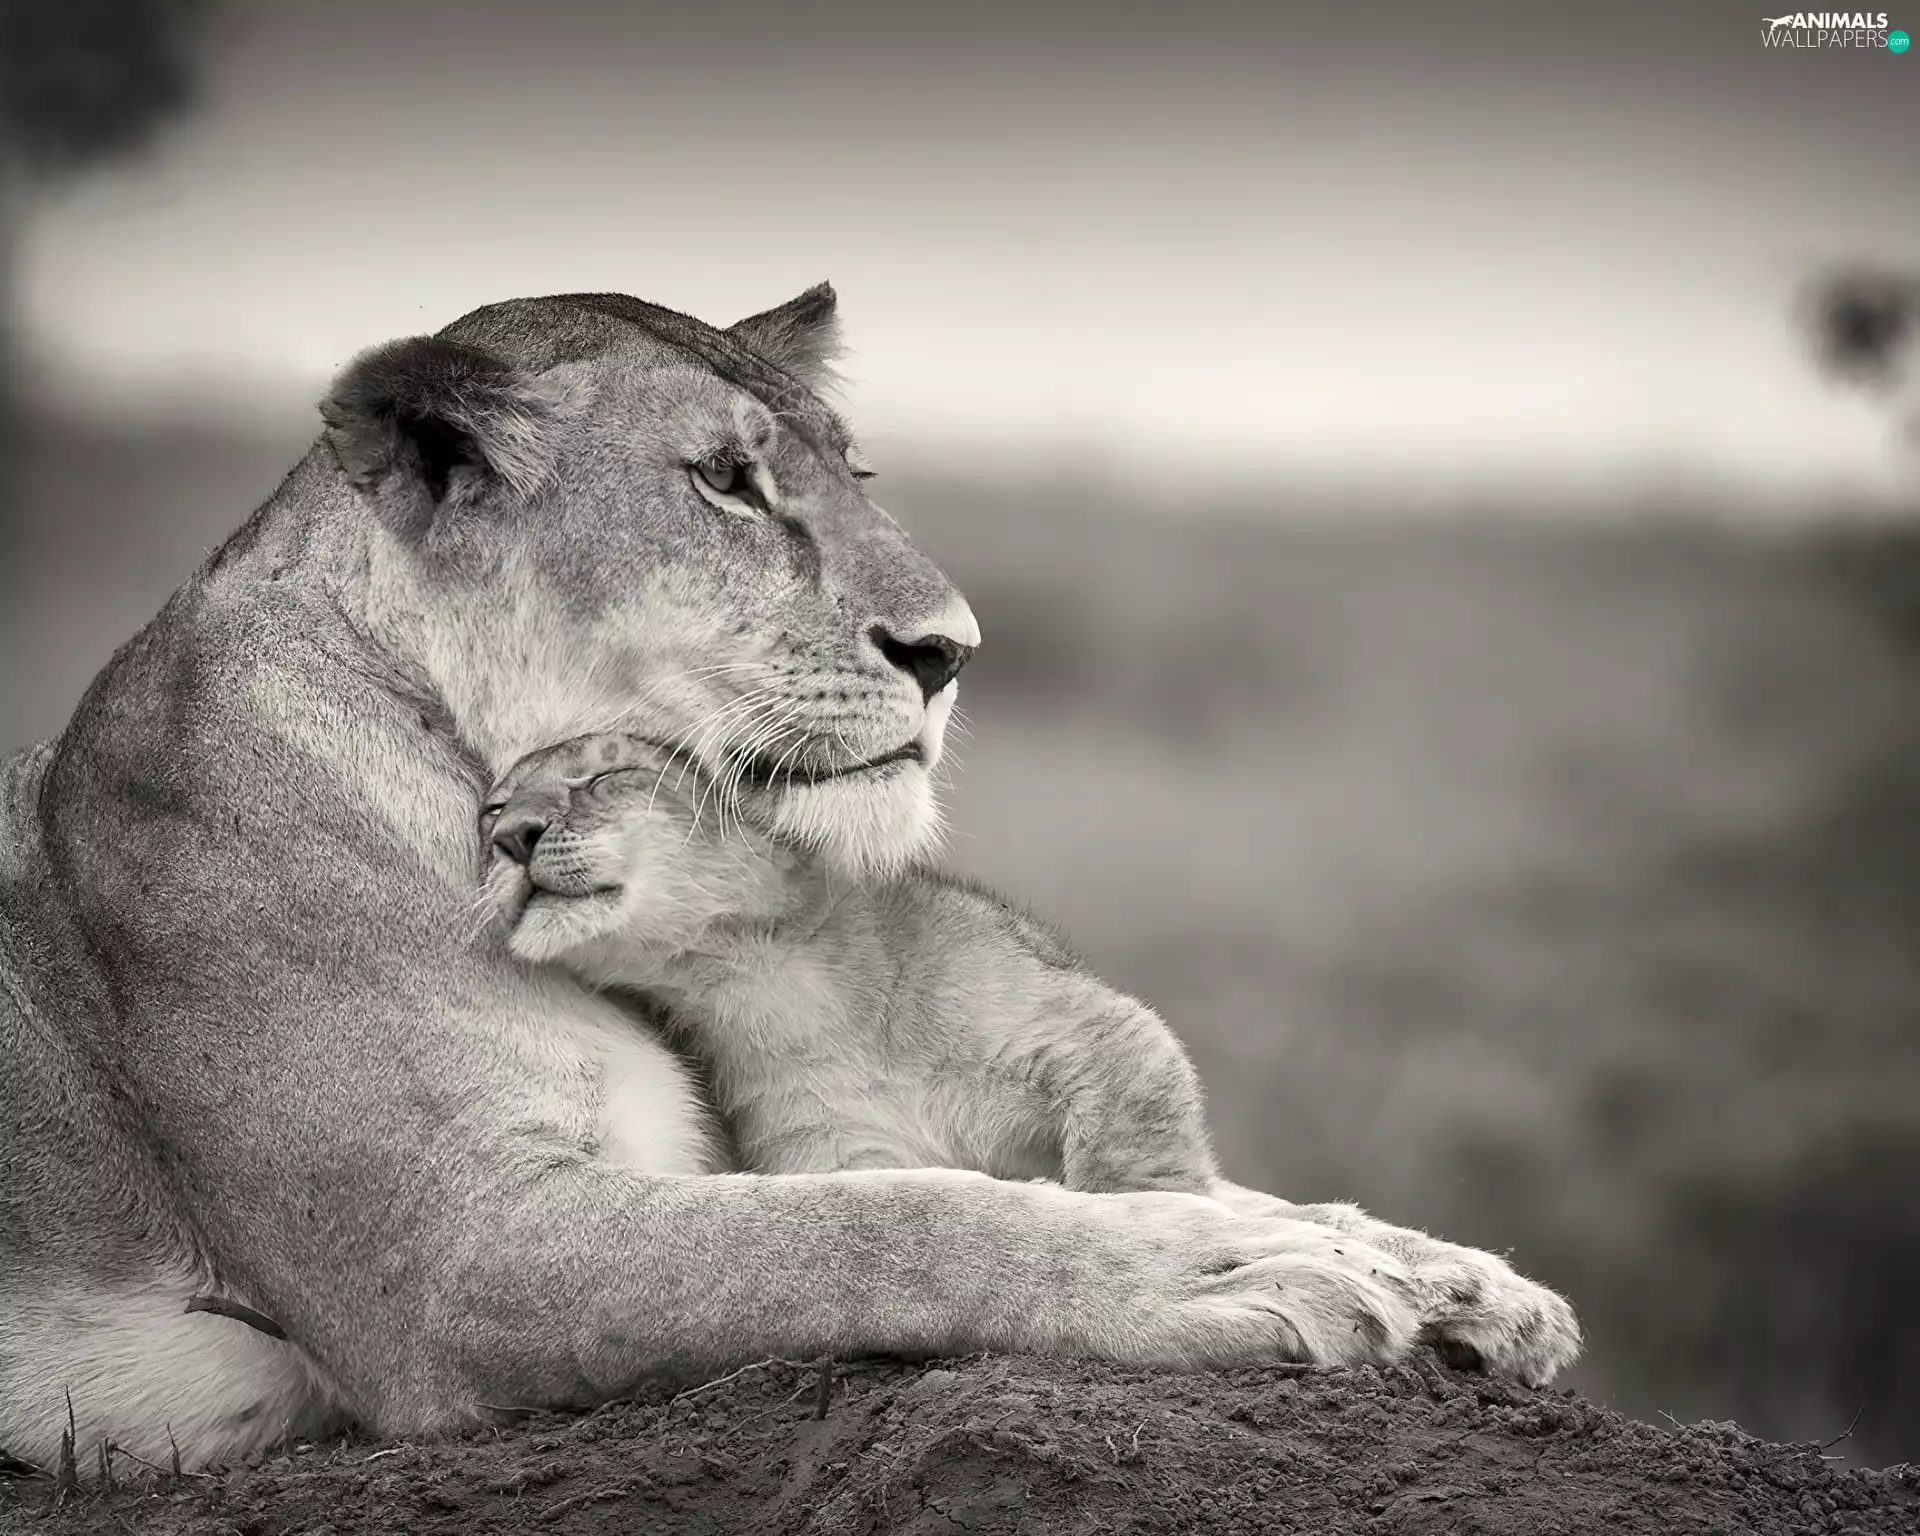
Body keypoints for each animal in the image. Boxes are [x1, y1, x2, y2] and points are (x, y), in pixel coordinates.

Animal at [0, 285, 1577, 1476]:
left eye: (852, 476)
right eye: (726, 481)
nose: (952, 651)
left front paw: (1445, 1277)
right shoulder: (443, 1265)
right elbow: (879, 1227)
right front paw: (1231, 1272)